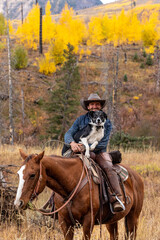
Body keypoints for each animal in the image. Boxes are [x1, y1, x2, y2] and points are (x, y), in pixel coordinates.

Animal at [13, 150, 144, 240]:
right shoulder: (65, 223)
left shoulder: (88, 222)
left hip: (133, 217)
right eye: (18, 174)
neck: (71, 186)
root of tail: (136, 176)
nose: (18, 203)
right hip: (111, 221)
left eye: (32, 175)